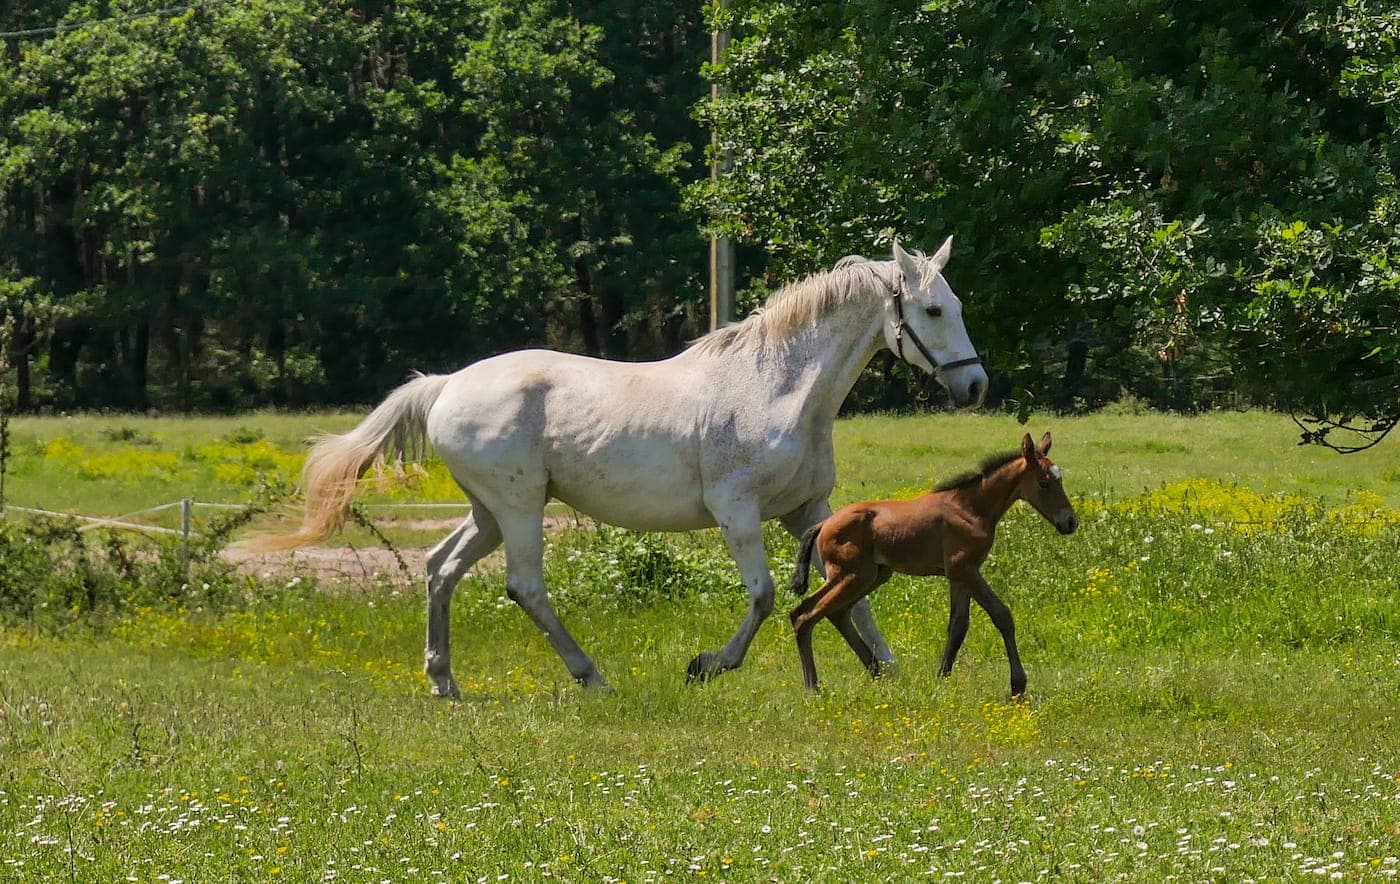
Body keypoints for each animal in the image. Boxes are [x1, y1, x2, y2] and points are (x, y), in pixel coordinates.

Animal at [239, 238, 988, 697]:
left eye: (955, 304)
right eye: (930, 309)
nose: (975, 385)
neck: (776, 387)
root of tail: (447, 384)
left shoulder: (807, 510)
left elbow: (853, 594)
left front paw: (887, 669)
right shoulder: (738, 513)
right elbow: (764, 595)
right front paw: (710, 665)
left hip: (488, 512)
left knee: (439, 568)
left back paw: (444, 681)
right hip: (518, 510)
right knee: (524, 586)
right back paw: (591, 676)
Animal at [788, 431, 1077, 696]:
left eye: (1059, 479)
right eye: (1043, 482)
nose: (1070, 522)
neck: (971, 507)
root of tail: (824, 523)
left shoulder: (959, 574)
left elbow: (958, 625)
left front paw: (942, 678)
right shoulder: (964, 568)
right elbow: (1001, 615)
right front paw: (1018, 684)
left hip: (874, 574)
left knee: (837, 613)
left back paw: (876, 672)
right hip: (852, 575)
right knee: (804, 613)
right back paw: (813, 687)